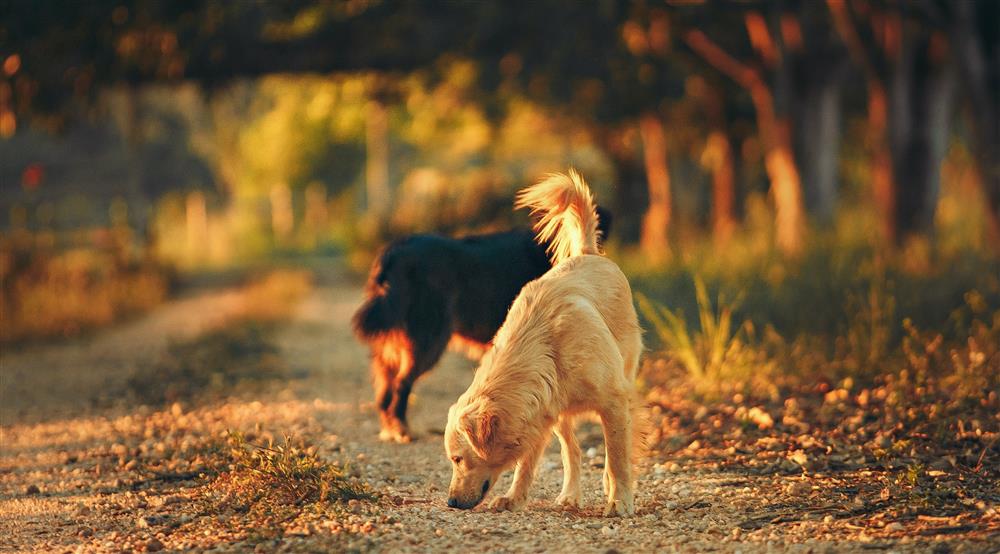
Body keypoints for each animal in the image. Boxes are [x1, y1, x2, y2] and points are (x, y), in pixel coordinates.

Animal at [356, 206, 612, 440]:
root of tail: (396, 249)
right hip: (429, 338)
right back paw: (403, 429)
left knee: (384, 390)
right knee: (401, 385)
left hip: (395, 344)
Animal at [442, 168, 644, 512]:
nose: (451, 502)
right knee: (572, 452)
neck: (546, 345)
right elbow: (526, 463)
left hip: (623, 377)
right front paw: (514, 498)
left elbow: (617, 458)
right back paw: (570, 495)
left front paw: (620, 501)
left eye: (457, 458)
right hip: (559, 415)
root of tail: (588, 253)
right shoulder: (540, 411)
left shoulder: (613, 400)